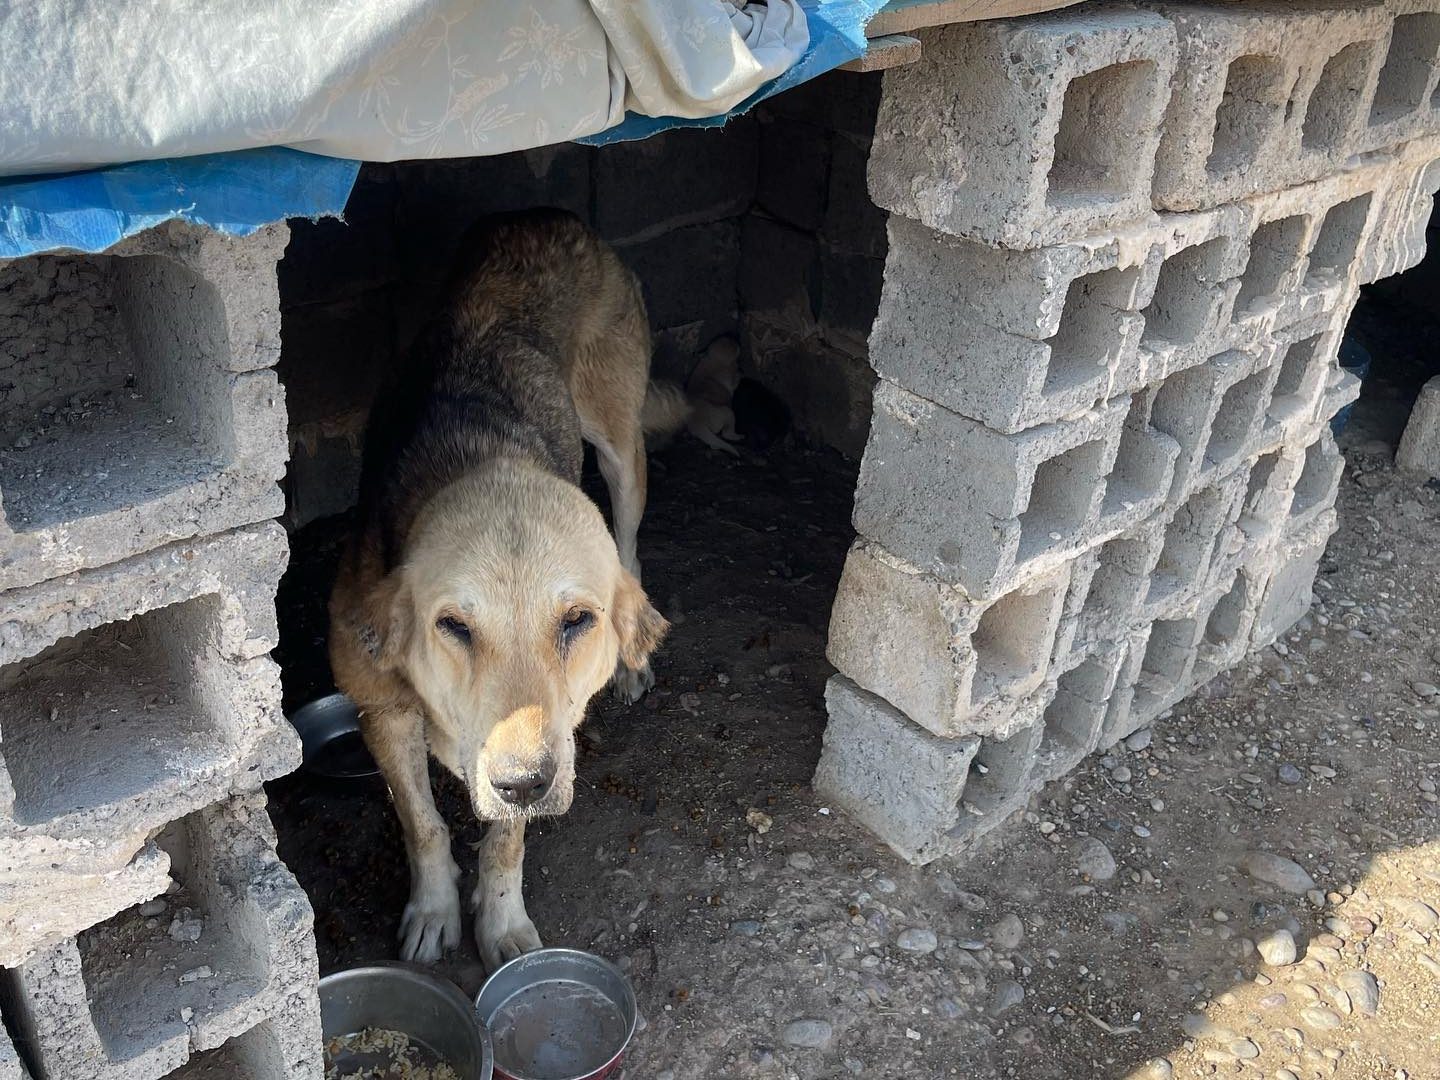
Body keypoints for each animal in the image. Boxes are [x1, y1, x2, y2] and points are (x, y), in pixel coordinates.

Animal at [329, 207, 676, 967]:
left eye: (576, 621)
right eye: (453, 627)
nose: (523, 782)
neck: (480, 457)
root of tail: (550, 216)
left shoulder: (553, 735)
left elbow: (506, 841)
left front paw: (501, 921)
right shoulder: (380, 711)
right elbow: (423, 824)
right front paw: (434, 911)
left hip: (618, 438)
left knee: (630, 540)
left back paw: (634, 656)